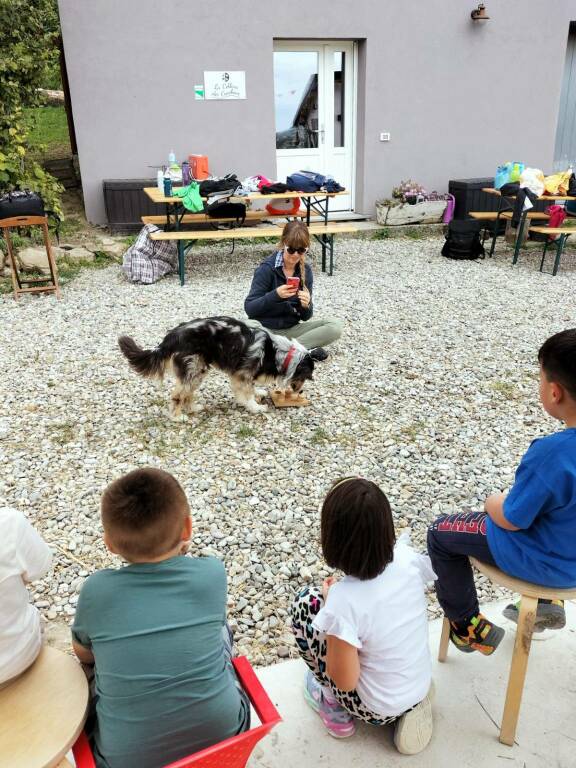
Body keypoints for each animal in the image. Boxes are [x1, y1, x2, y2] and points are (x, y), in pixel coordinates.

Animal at [118, 316, 316, 416]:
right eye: (305, 377)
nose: (301, 392)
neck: (276, 352)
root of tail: (170, 339)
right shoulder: (242, 374)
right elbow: (247, 393)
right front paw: (255, 407)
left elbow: (251, 389)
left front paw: (257, 394)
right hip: (193, 368)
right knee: (177, 395)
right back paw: (178, 417)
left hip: (198, 371)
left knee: (187, 394)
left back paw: (193, 409)